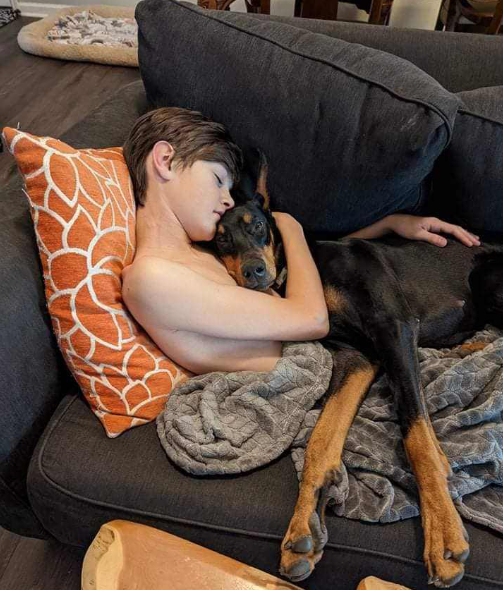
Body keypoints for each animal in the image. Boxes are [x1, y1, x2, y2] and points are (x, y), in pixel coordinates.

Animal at [208, 148, 503, 588]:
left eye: (257, 225)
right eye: (220, 238)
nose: (253, 272)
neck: (303, 272)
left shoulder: (393, 327)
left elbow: (416, 436)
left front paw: (444, 536)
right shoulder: (357, 358)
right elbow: (320, 440)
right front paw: (303, 530)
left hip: (487, 278)